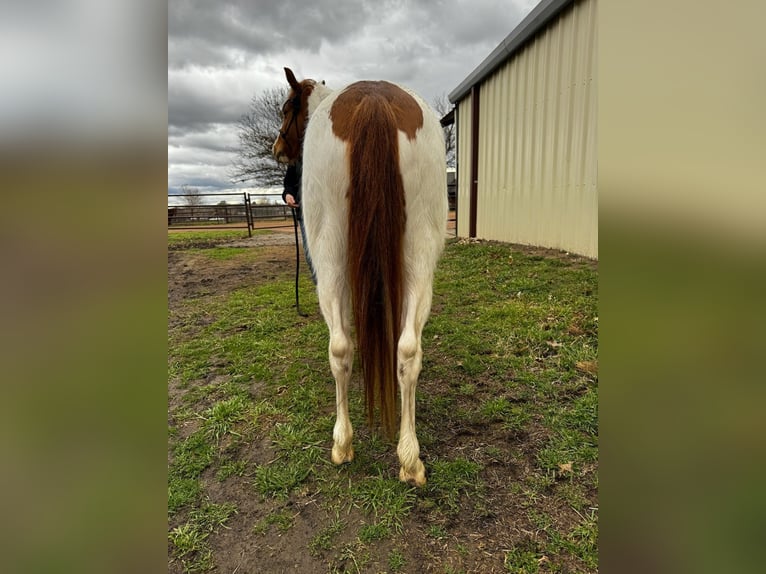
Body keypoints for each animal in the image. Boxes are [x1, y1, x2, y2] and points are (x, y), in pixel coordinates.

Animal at [272, 67, 450, 488]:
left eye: (287, 107)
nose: (277, 149)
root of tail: (373, 98)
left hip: (330, 259)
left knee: (341, 347)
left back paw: (344, 444)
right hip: (418, 254)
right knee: (402, 350)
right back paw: (409, 458)